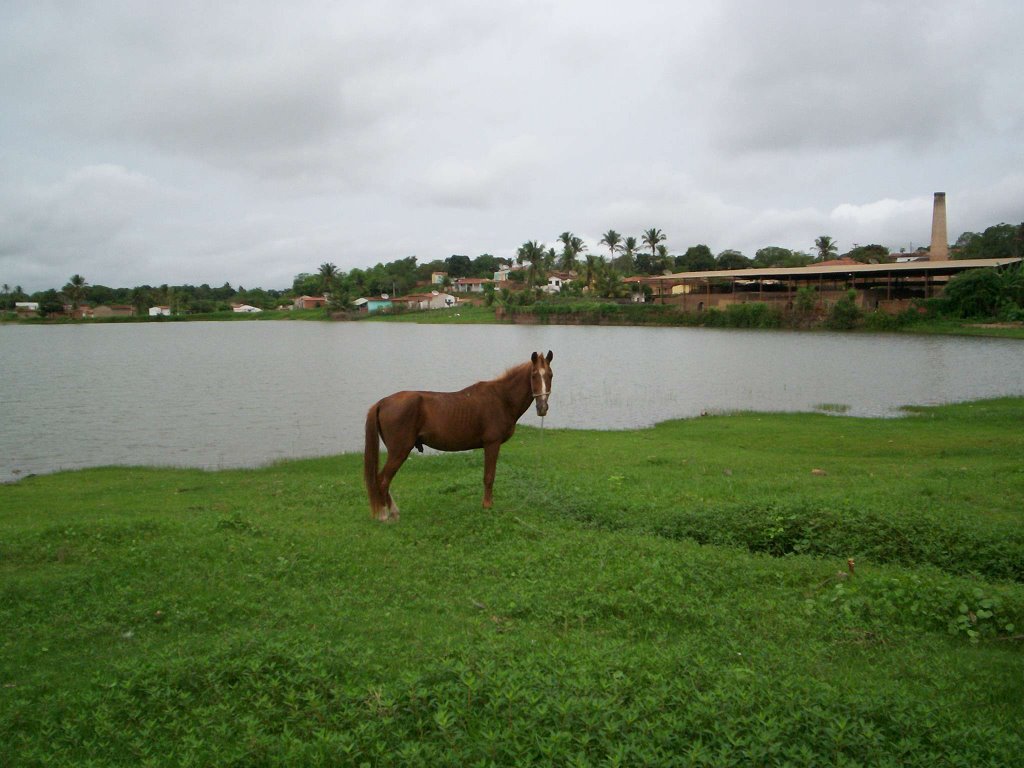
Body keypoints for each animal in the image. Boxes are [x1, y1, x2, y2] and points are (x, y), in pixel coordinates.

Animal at [362, 350, 552, 520]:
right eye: (534, 375)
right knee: (383, 480)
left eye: (550, 375)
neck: (501, 398)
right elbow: (489, 476)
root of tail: (383, 402)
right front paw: (487, 506)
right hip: (399, 450)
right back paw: (384, 515)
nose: (542, 407)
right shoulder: (492, 444)